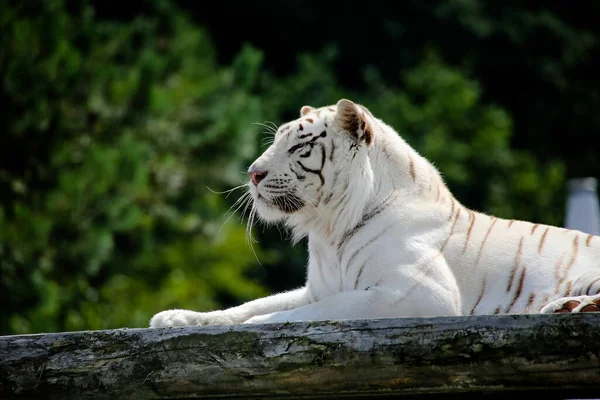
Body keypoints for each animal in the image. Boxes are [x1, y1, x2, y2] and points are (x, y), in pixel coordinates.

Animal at [149, 97, 600, 328]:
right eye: (275, 142)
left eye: (298, 146)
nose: (252, 173)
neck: (328, 229)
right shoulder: (317, 287)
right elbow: (247, 306)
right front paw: (174, 318)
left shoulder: (418, 293)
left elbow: (299, 314)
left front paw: (255, 327)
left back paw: (570, 307)